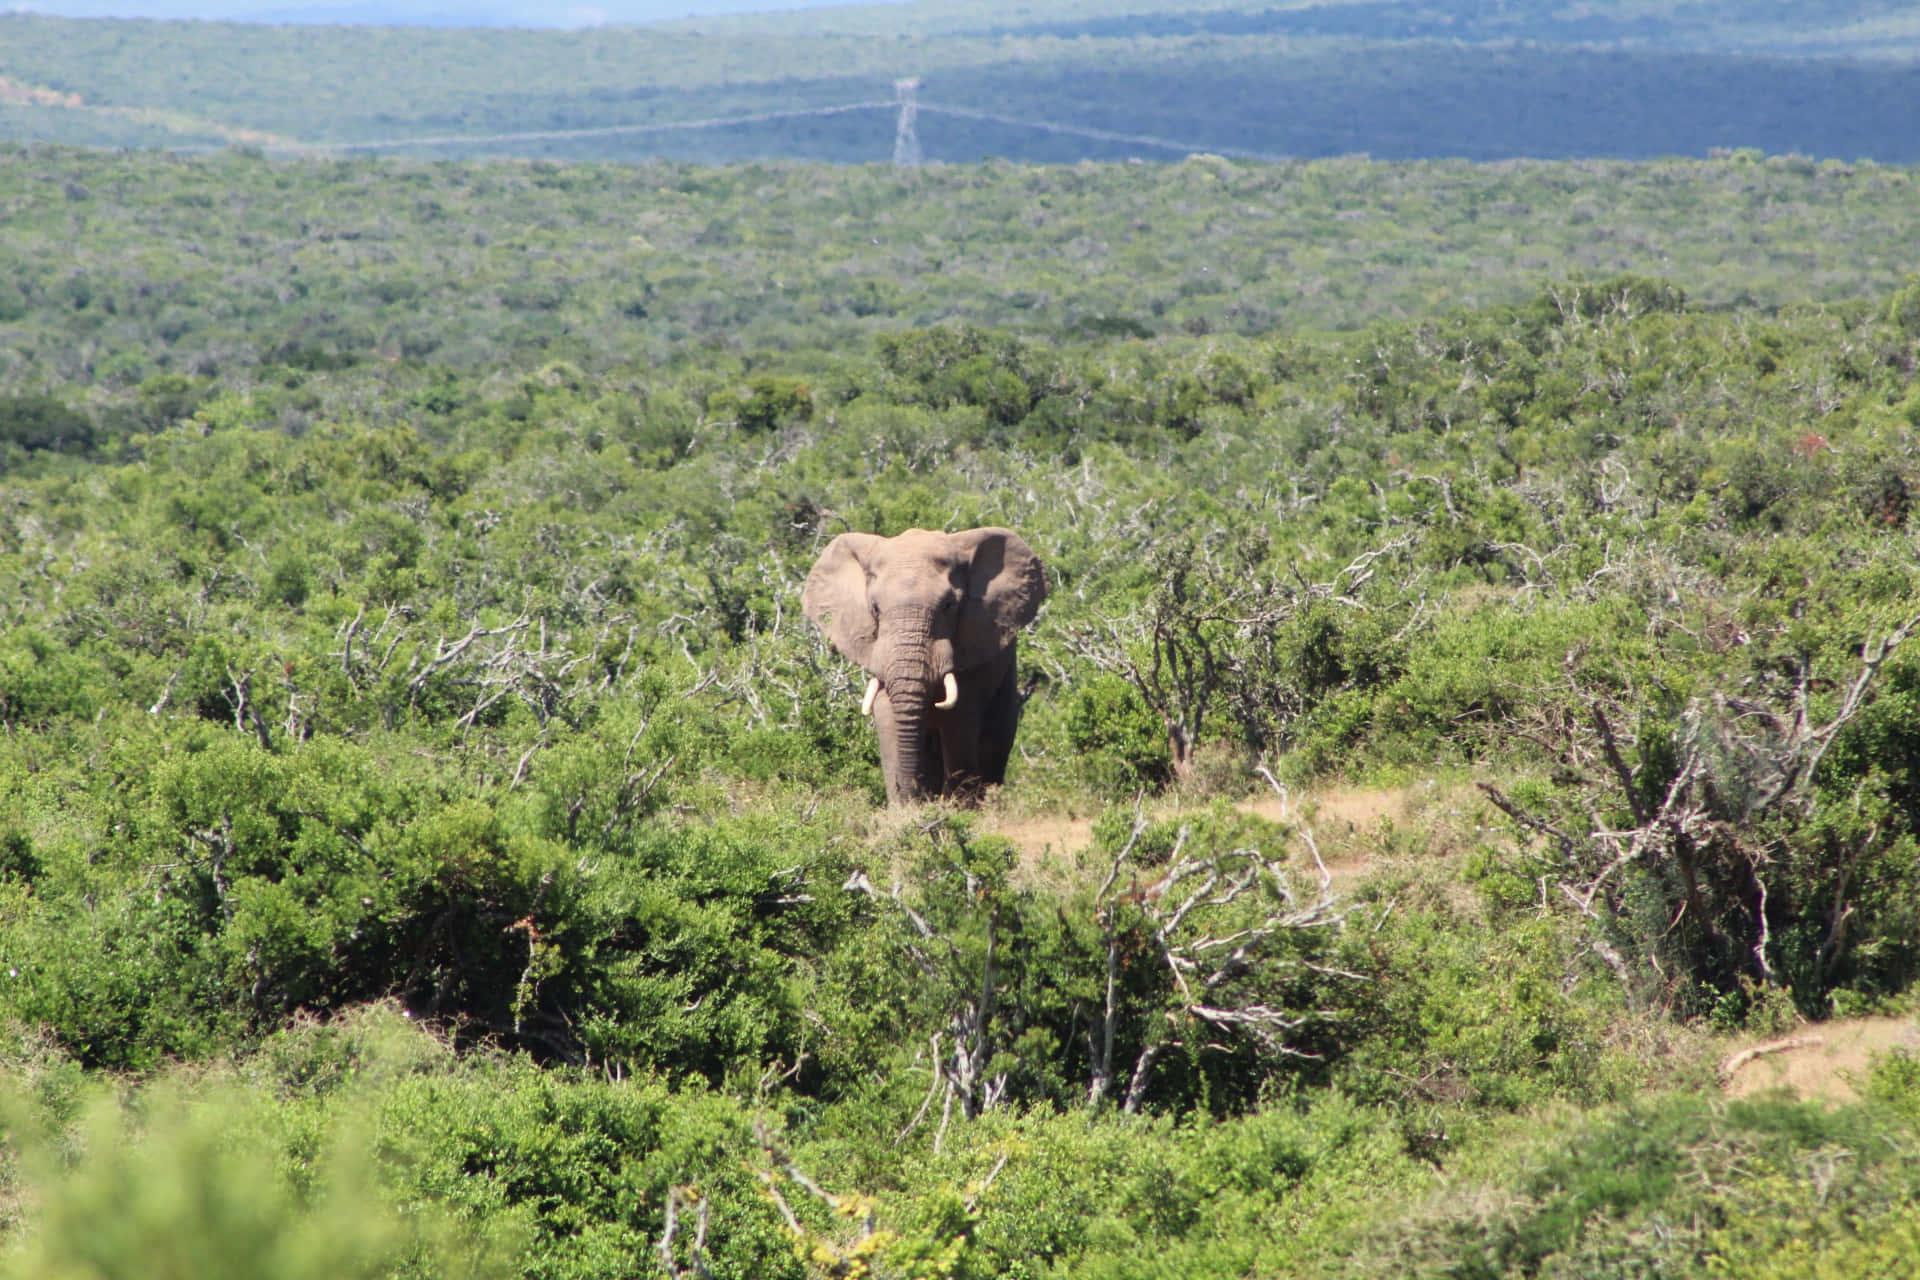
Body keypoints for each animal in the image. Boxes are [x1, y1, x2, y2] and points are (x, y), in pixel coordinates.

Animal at [802, 527, 1048, 806]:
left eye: (949, 605)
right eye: (875, 609)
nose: (907, 790)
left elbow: (959, 723)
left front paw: (956, 810)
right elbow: (887, 716)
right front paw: (906, 812)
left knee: (995, 738)